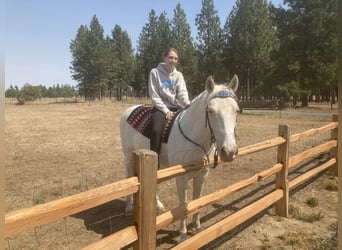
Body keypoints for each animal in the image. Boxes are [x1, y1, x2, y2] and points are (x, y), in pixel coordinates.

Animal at [119, 73, 239, 236]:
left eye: (236, 110)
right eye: (211, 111)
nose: (229, 151)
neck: (194, 136)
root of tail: (129, 110)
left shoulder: (202, 174)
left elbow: (197, 200)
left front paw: (197, 227)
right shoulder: (181, 177)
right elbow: (183, 204)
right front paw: (183, 233)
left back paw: (158, 205)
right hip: (128, 157)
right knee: (128, 177)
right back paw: (128, 207)